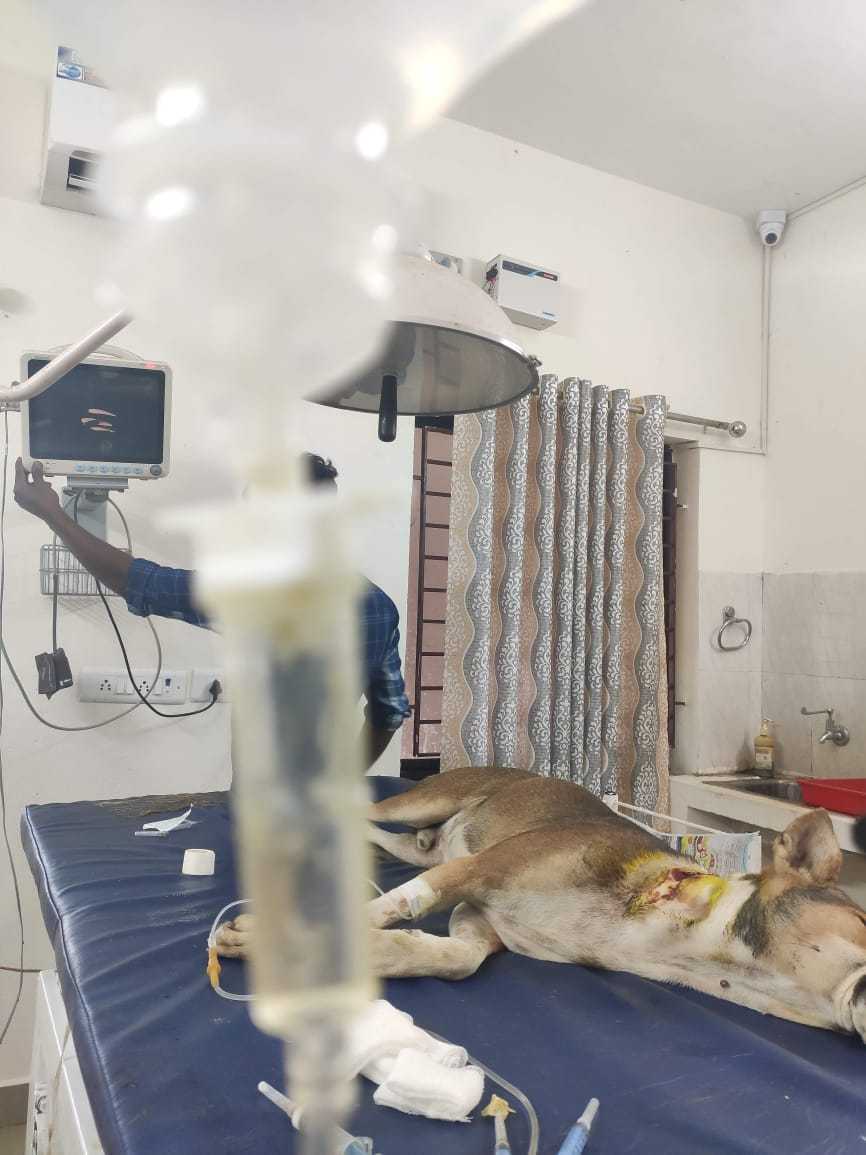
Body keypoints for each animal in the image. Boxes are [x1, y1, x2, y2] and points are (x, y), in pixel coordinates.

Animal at [216, 766, 866, 1042]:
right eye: (863, 919)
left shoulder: (480, 917)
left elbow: (454, 959)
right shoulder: (479, 870)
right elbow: (399, 905)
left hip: (421, 844)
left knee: (381, 835)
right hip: (426, 800)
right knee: (361, 809)